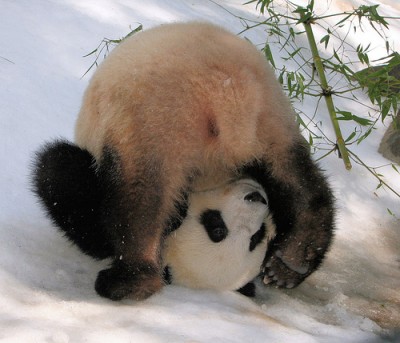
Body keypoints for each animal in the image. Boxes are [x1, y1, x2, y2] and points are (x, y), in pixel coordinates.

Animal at [32, 20, 336, 300]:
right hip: (272, 118)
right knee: (297, 180)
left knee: (136, 196)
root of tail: (228, 95)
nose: (255, 198)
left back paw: (131, 280)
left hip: (151, 123)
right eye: (216, 227)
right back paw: (293, 261)